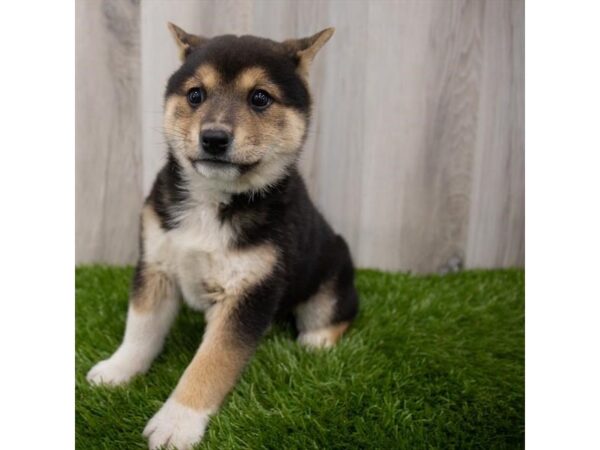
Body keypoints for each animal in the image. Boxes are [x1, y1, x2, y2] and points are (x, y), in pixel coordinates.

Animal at [86, 24, 358, 450]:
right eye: (196, 95)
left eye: (260, 98)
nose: (213, 137)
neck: (212, 202)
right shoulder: (156, 264)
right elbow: (141, 329)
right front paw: (119, 369)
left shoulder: (249, 292)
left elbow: (210, 364)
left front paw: (177, 422)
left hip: (331, 276)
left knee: (339, 314)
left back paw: (314, 342)